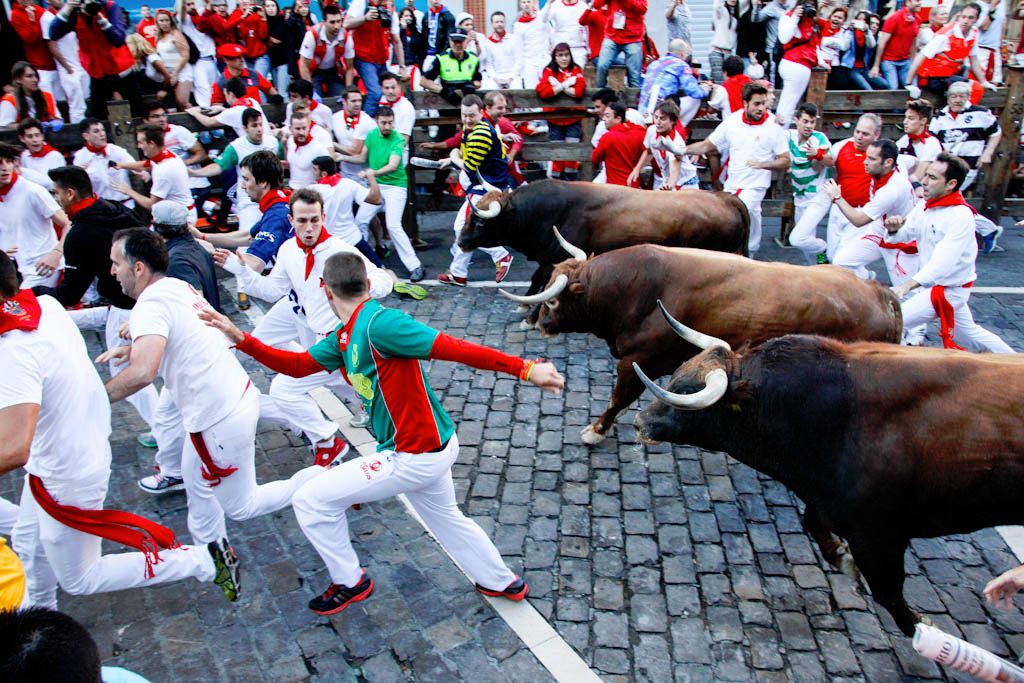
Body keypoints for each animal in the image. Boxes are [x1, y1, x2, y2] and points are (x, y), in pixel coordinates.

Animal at [460, 179, 749, 323]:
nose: (461, 241)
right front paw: (523, 307)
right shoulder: (547, 258)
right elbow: (536, 279)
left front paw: (530, 316)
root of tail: (725, 198)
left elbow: (546, 285)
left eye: (481, 221)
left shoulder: (556, 259)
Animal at [503, 242, 905, 446]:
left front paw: (595, 431)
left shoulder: (637, 362)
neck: (637, 289)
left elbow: (619, 398)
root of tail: (880, 292)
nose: (541, 324)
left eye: (554, 302)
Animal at [630, 321, 1024, 634]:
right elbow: (812, 523)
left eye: (685, 392)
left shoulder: (880, 534)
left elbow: (888, 593)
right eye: (677, 374)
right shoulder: (830, 506)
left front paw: (920, 626)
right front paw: (840, 557)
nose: (640, 421)